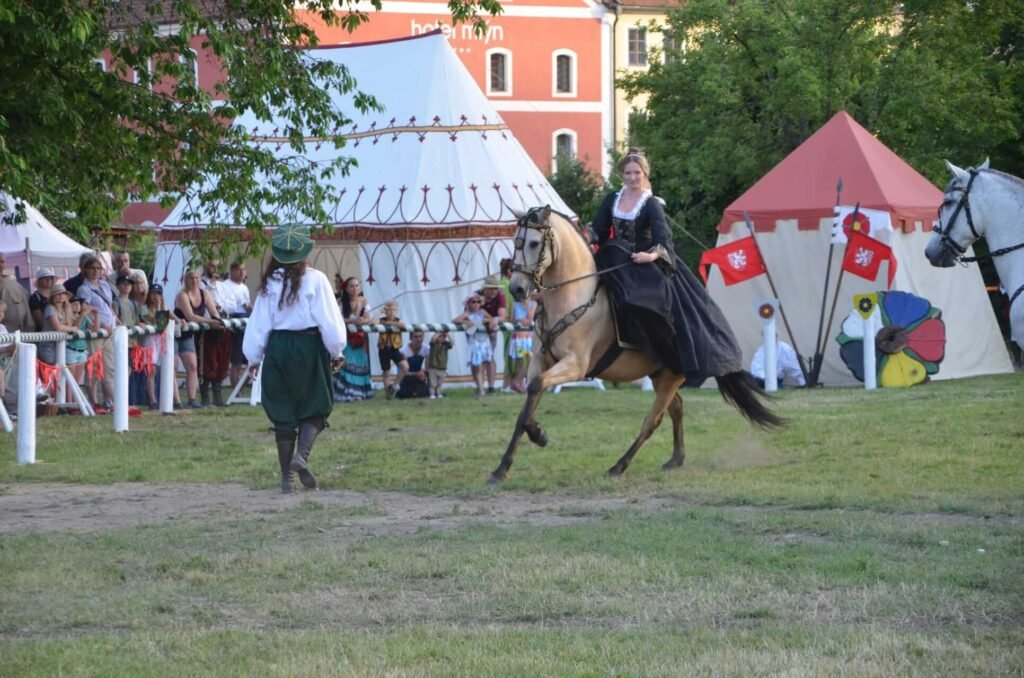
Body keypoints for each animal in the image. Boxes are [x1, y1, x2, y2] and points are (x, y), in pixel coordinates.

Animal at [487, 204, 782, 485]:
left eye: (534, 243)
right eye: (515, 240)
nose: (516, 289)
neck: (572, 298)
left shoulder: (575, 365)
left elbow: (536, 389)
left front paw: (538, 435)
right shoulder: (540, 362)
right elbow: (527, 405)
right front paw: (505, 465)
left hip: (671, 376)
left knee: (653, 420)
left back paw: (619, 466)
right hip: (660, 374)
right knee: (676, 408)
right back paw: (676, 459)